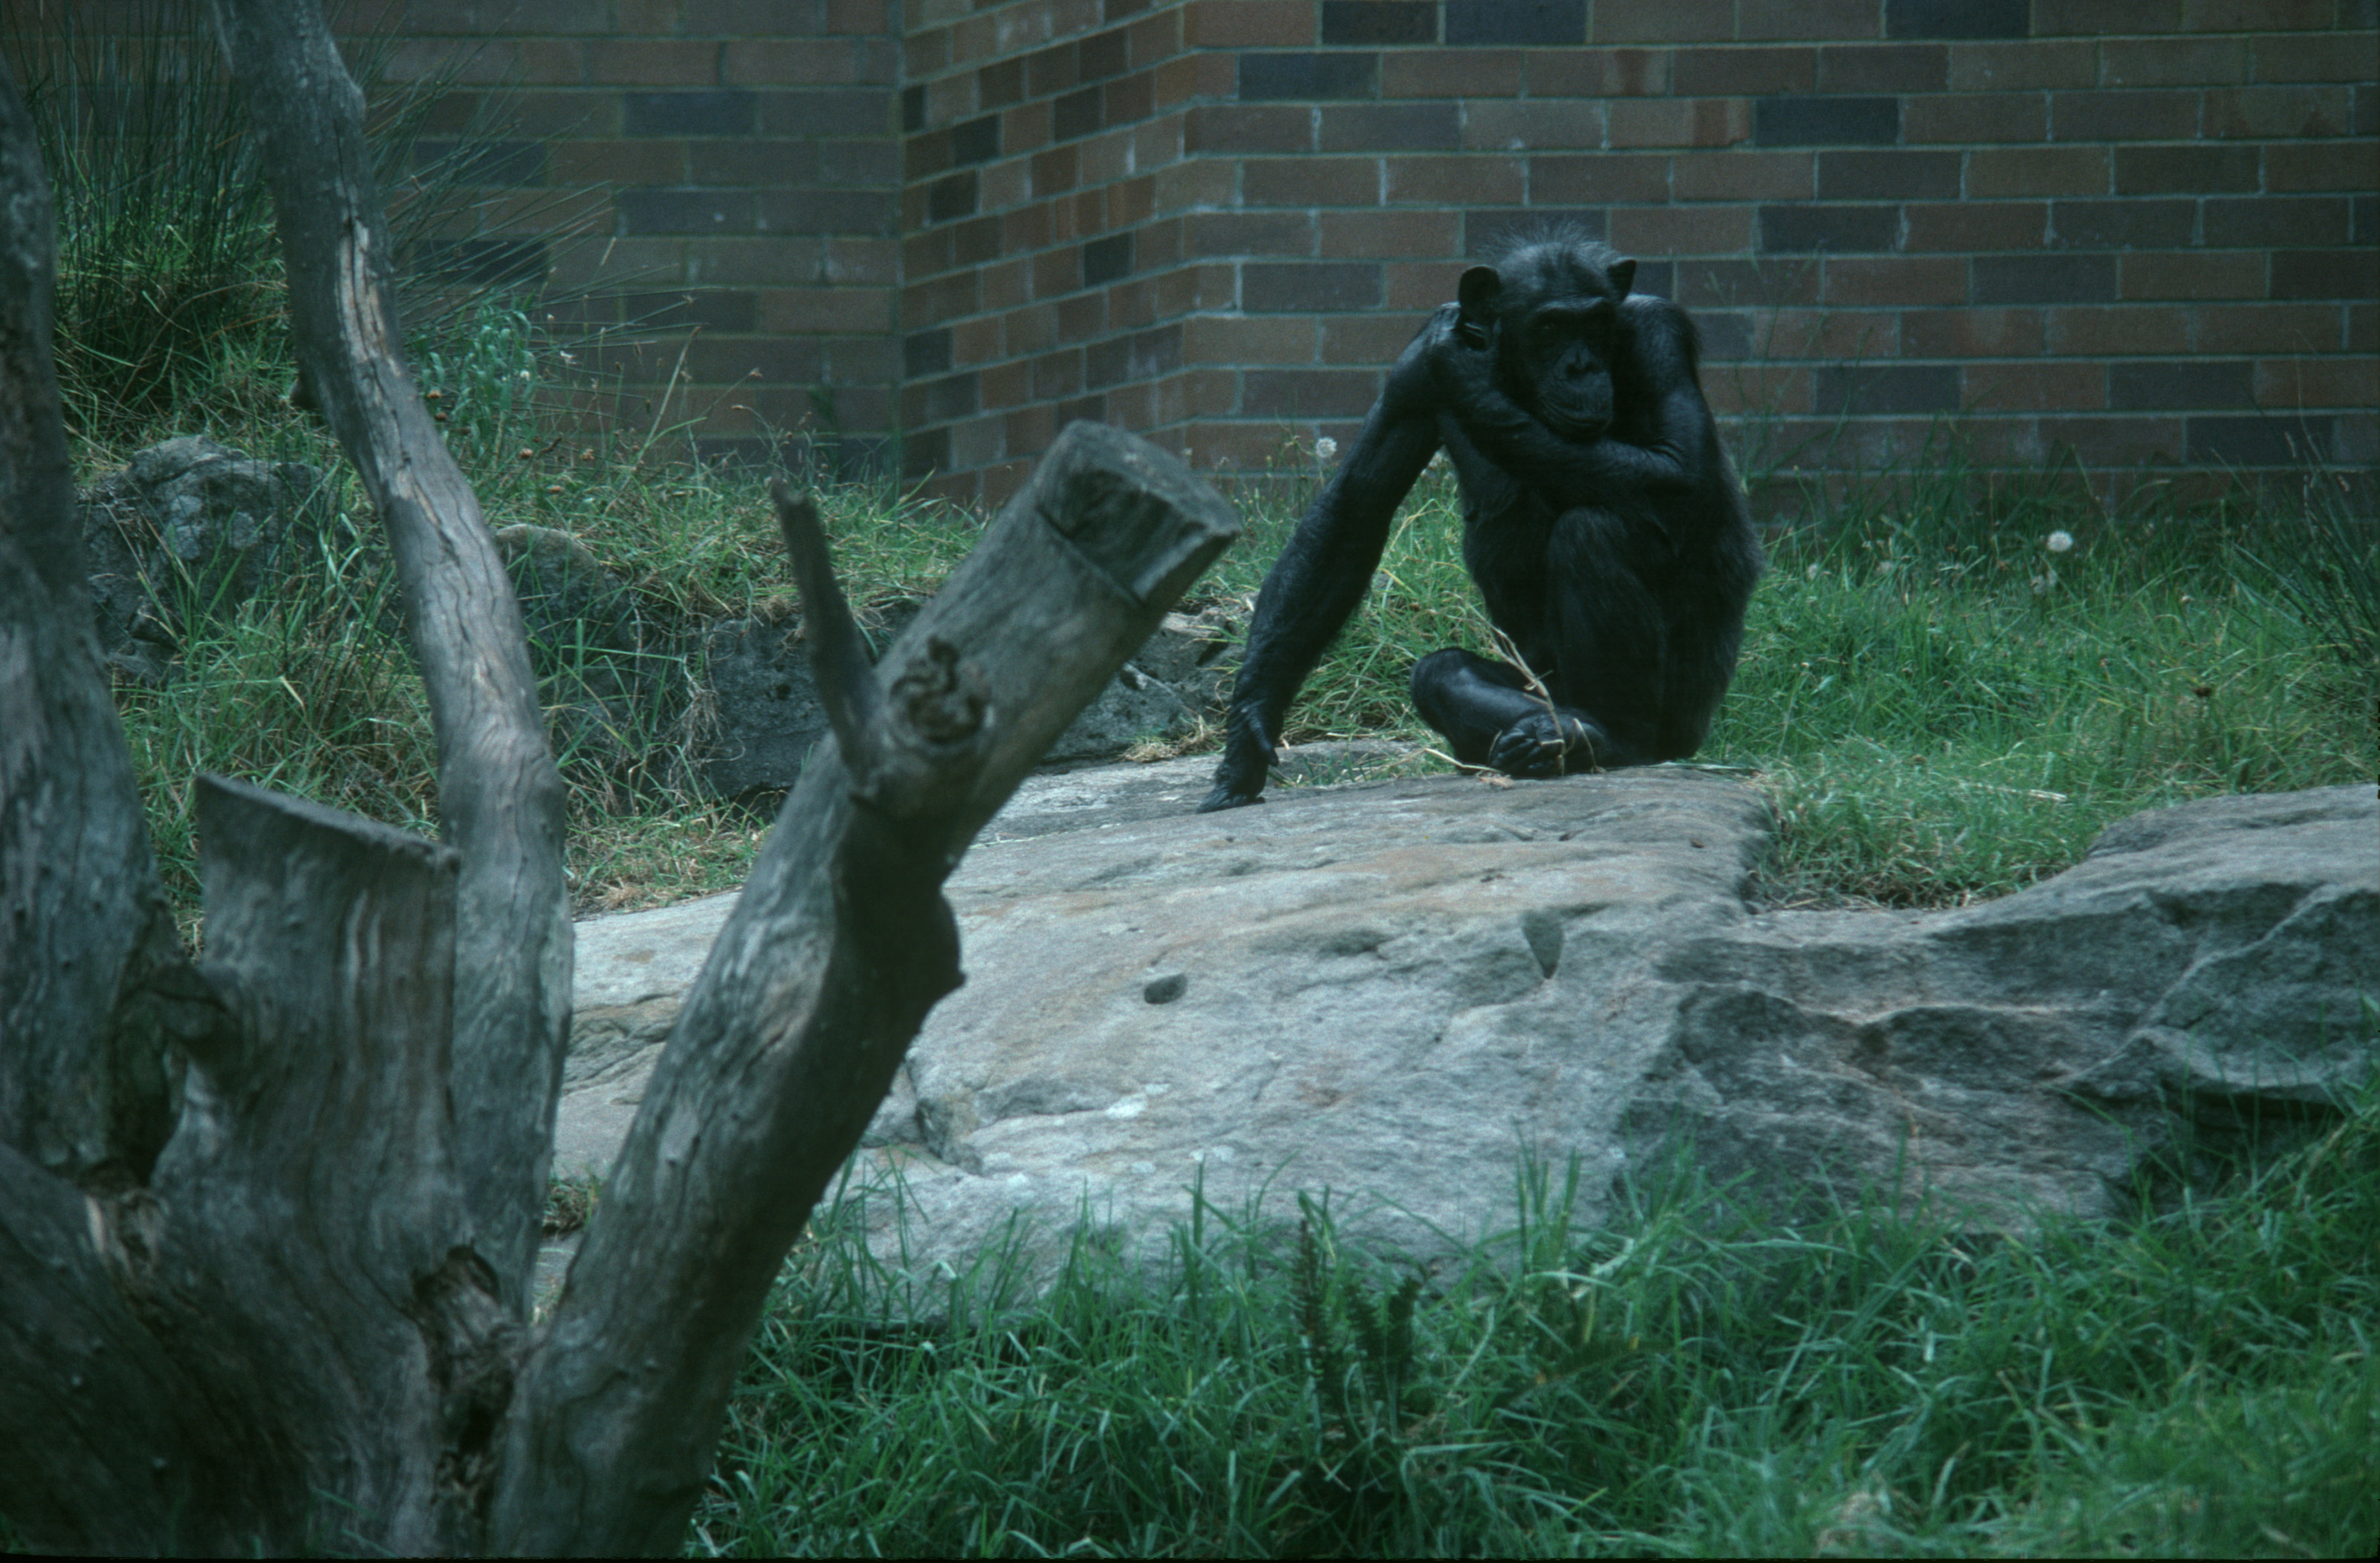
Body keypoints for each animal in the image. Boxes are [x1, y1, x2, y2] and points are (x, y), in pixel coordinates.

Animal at [1199, 237, 1761, 809]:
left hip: (1687, 715)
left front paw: (1465, 375)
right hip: (1540, 684)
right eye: (1551, 328)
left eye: (1595, 324)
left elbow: (1679, 470)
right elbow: (1353, 510)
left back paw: (1612, 736)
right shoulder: (1410, 373)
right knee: (1442, 671)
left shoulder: (1657, 336)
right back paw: (1544, 740)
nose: (1581, 366)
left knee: (1593, 533)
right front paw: (1248, 726)